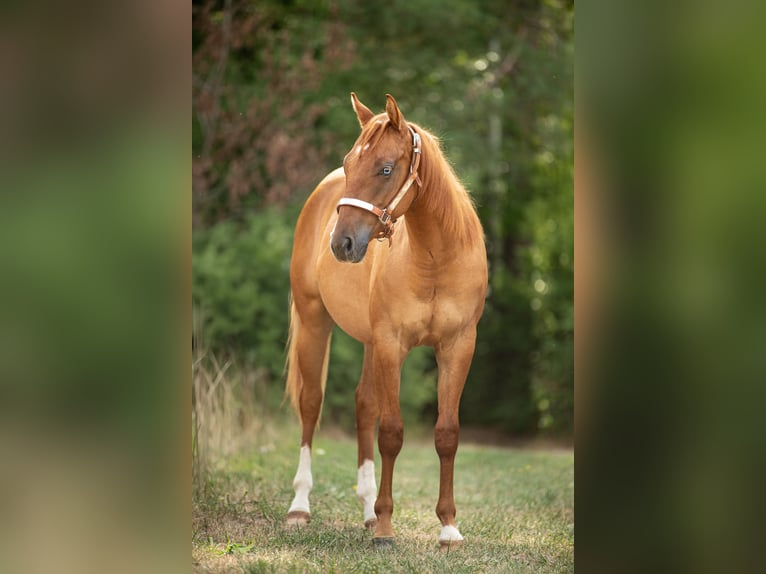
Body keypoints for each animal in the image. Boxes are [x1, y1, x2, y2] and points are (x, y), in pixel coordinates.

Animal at [284, 93, 487, 548]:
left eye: (386, 168)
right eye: (348, 163)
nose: (341, 244)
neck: (435, 259)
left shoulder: (458, 347)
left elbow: (447, 434)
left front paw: (448, 527)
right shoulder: (393, 344)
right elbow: (392, 433)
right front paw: (387, 529)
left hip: (369, 342)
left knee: (363, 405)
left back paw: (366, 510)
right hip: (314, 320)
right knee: (311, 406)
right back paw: (300, 507)